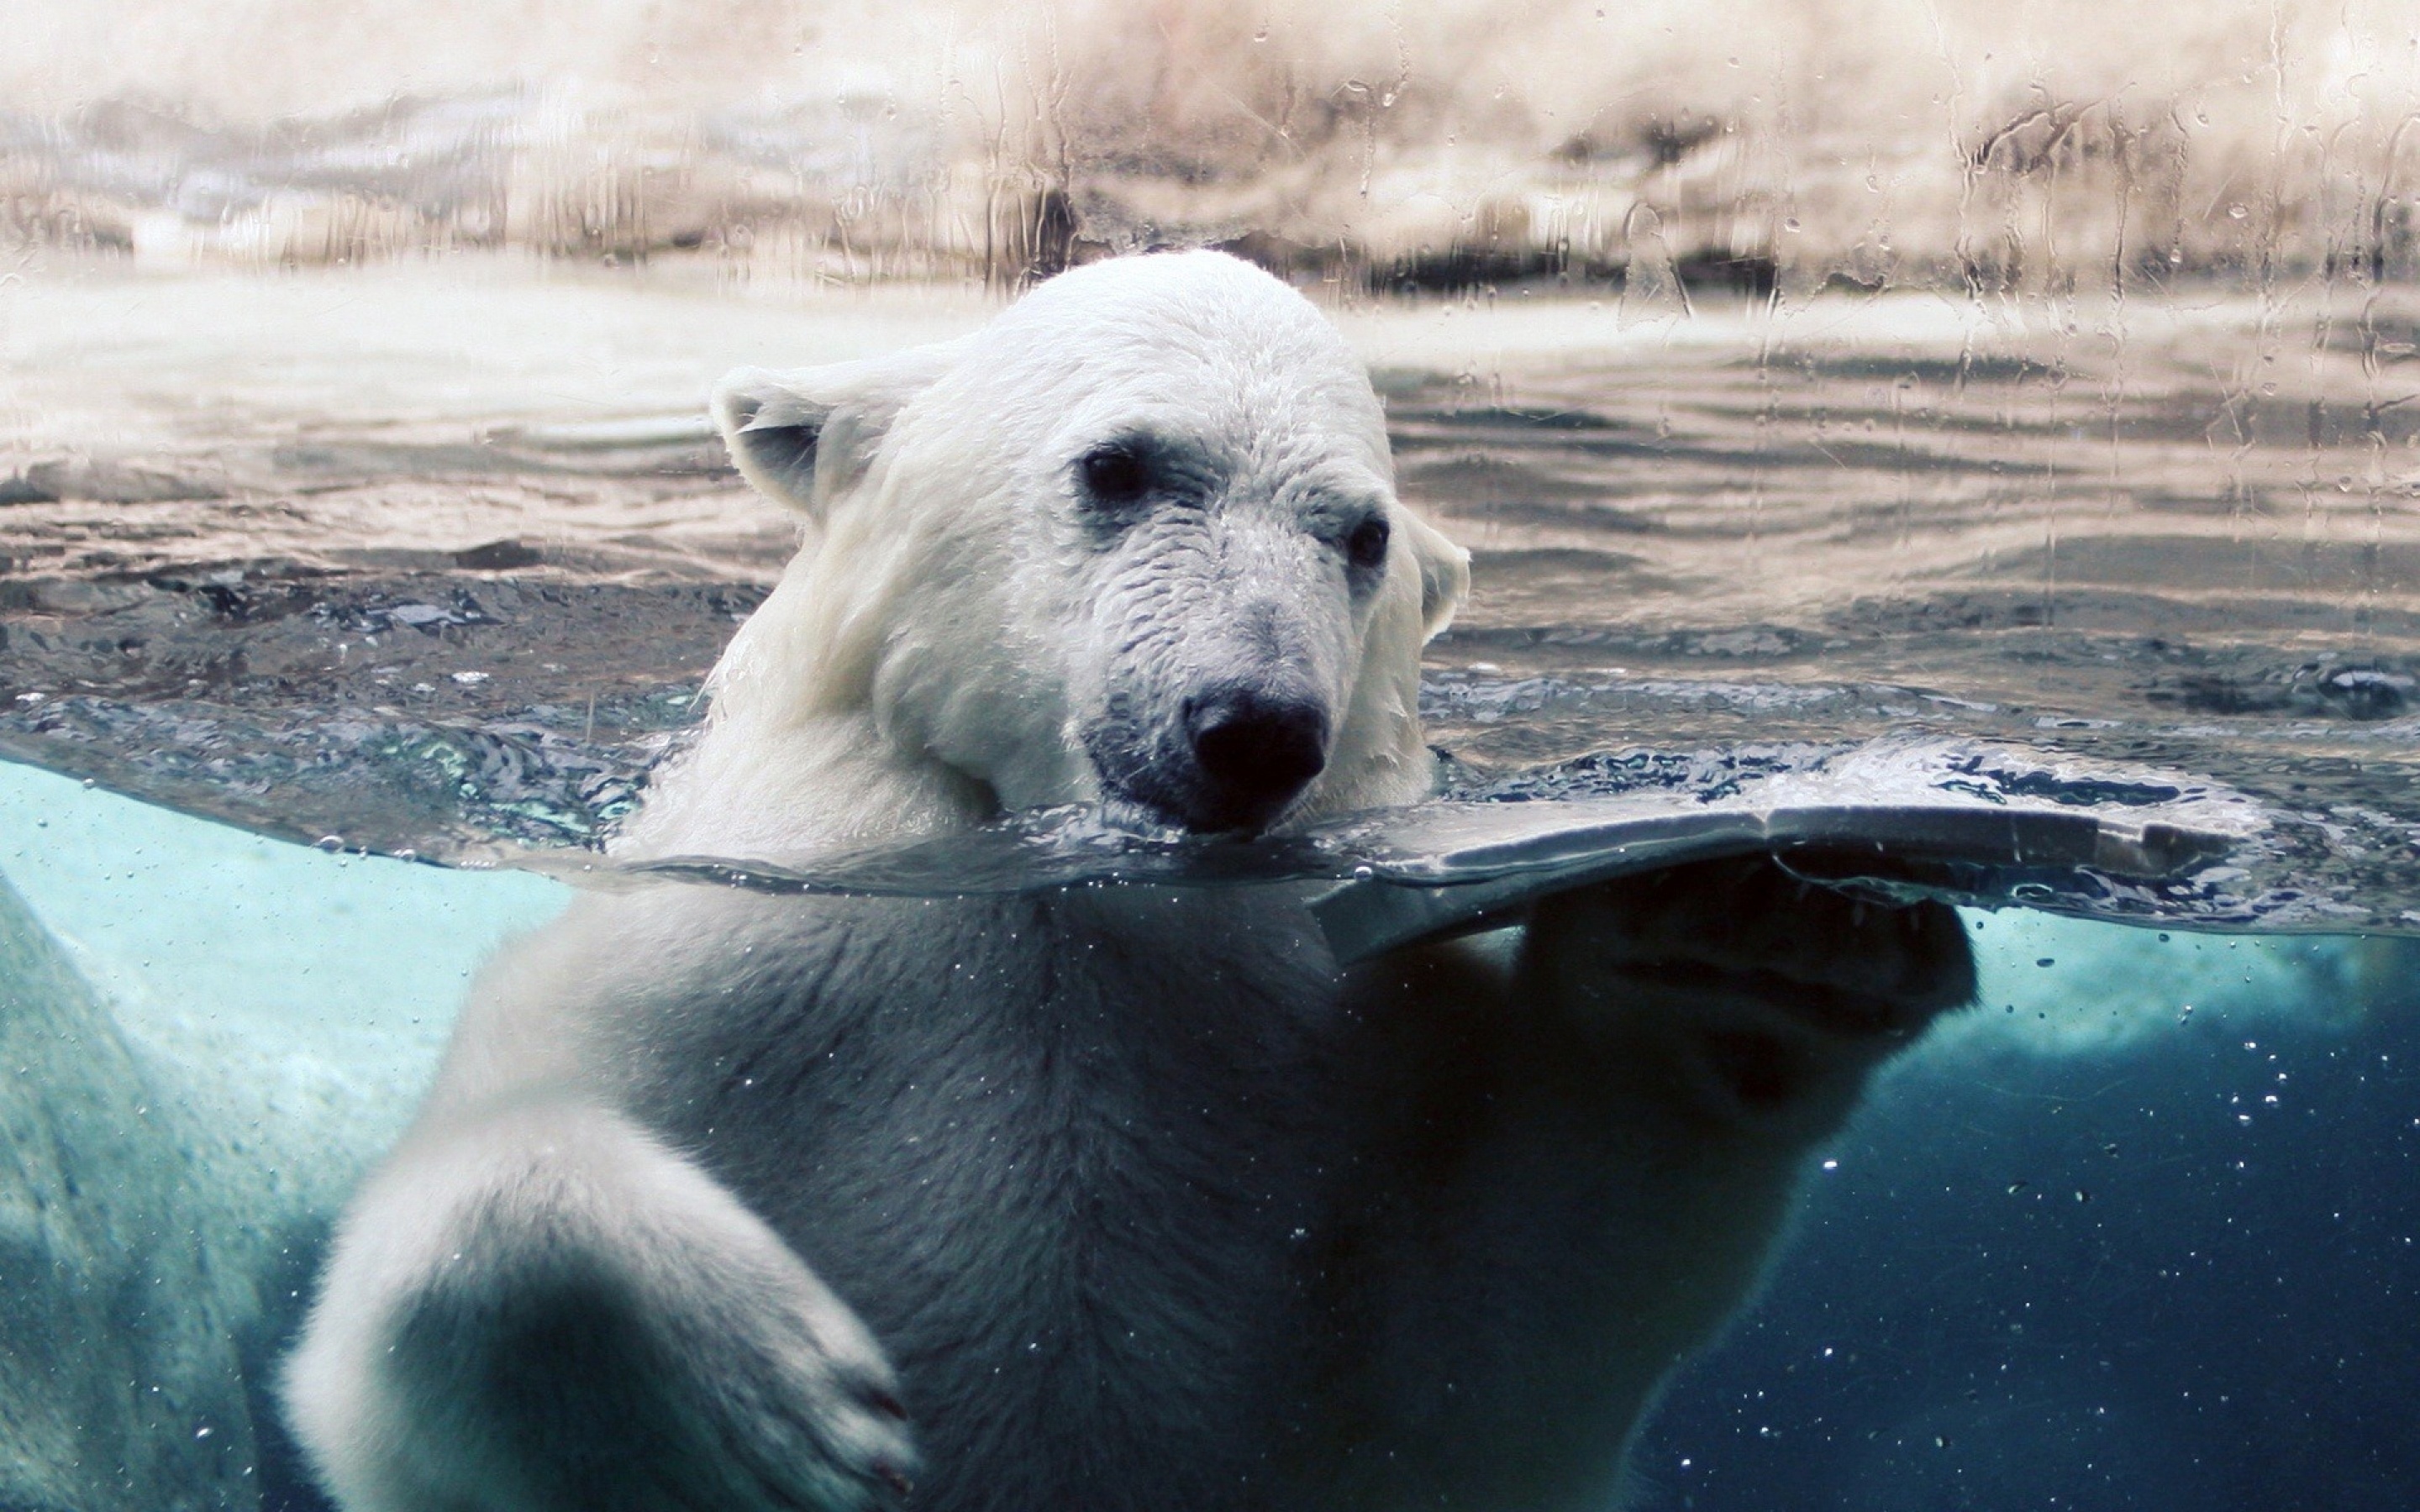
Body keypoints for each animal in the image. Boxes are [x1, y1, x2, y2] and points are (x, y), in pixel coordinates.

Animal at [278, 254, 1965, 1509]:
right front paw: (770, 1425)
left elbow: (1498, 1329)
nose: (1253, 726)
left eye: (1358, 534)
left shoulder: (1333, 1052)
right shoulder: (734, 962)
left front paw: (1754, 933)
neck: (1060, 894)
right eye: (1120, 467)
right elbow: (398, 1320)